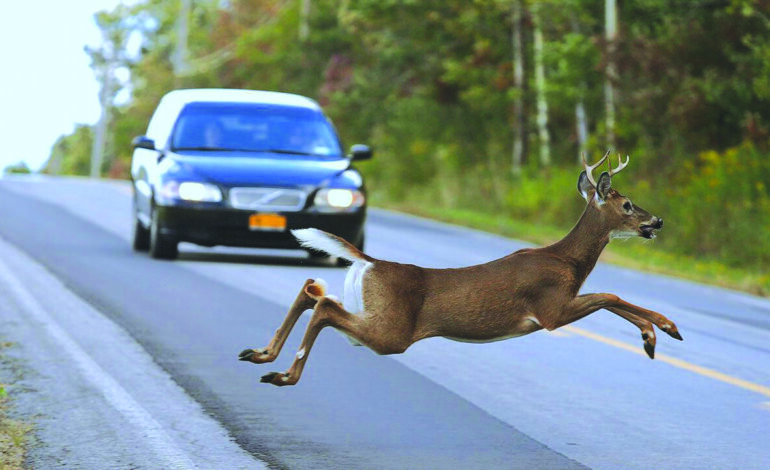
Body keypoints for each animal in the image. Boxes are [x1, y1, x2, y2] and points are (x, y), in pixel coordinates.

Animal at [237, 153, 680, 386]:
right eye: (627, 204)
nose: (656, 221)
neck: (567, 261)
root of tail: (371, 262)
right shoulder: (550, 309)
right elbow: (610, 295)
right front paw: (661, 330)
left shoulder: (557, 307)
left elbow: (610, 297)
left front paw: (655, 334)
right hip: (392, 331)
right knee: (324, 306)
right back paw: (283, 375)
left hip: (372, 313)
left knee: (313, 290)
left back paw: (260, 355)